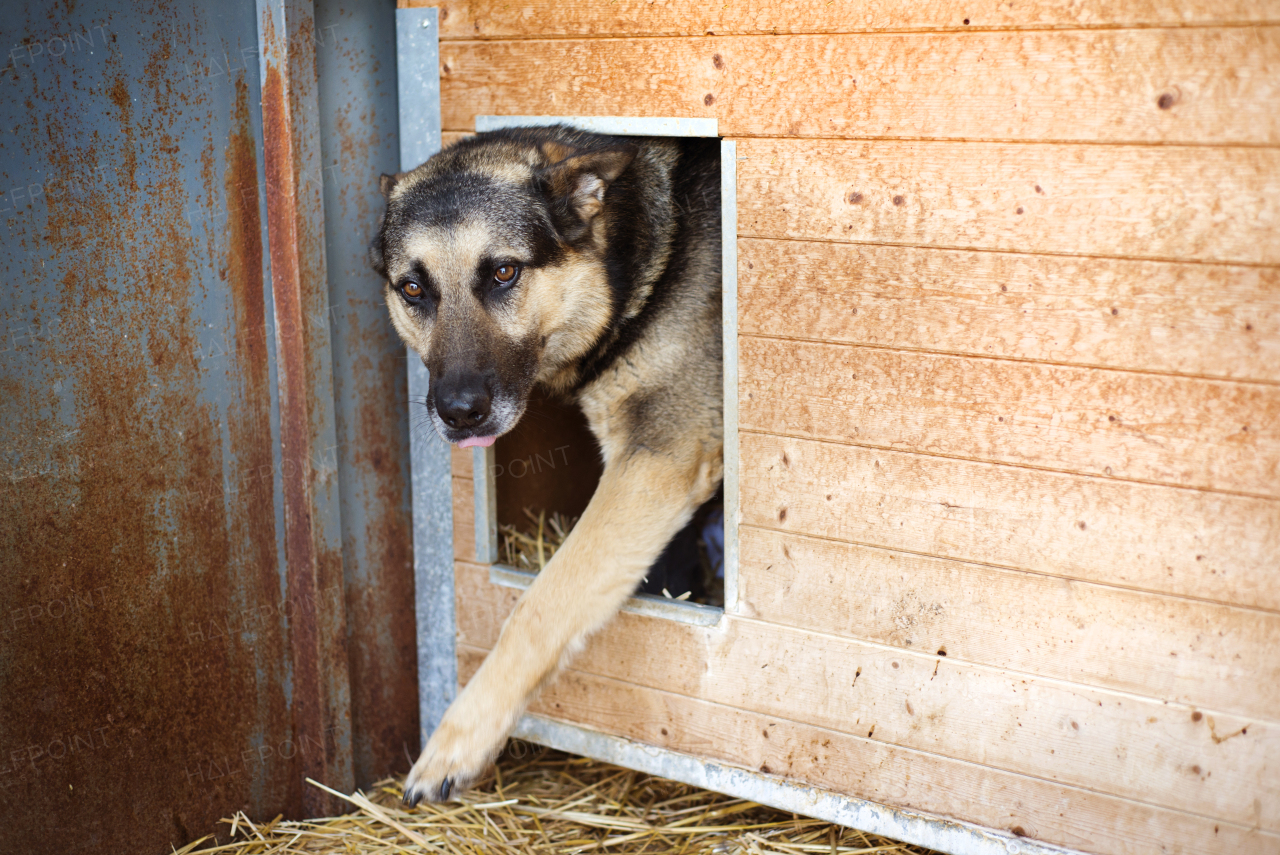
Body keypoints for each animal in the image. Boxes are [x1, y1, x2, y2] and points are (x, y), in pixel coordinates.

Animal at [373, 123, 727, 803]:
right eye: (413, 289)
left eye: (504, 272)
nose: (458, 412)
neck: (642, 257)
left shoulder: (657, 460)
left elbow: (539, 607)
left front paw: (456, 742)